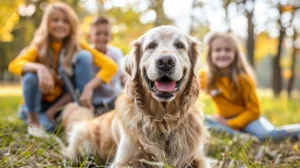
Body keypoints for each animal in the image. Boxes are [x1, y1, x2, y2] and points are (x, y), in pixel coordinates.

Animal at [62, 25, 210, 167]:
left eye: (179, 45)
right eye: (151, 45)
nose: (166, 61)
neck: (164, 122)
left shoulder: (197, 158)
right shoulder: (124, 161)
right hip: (82, 134)